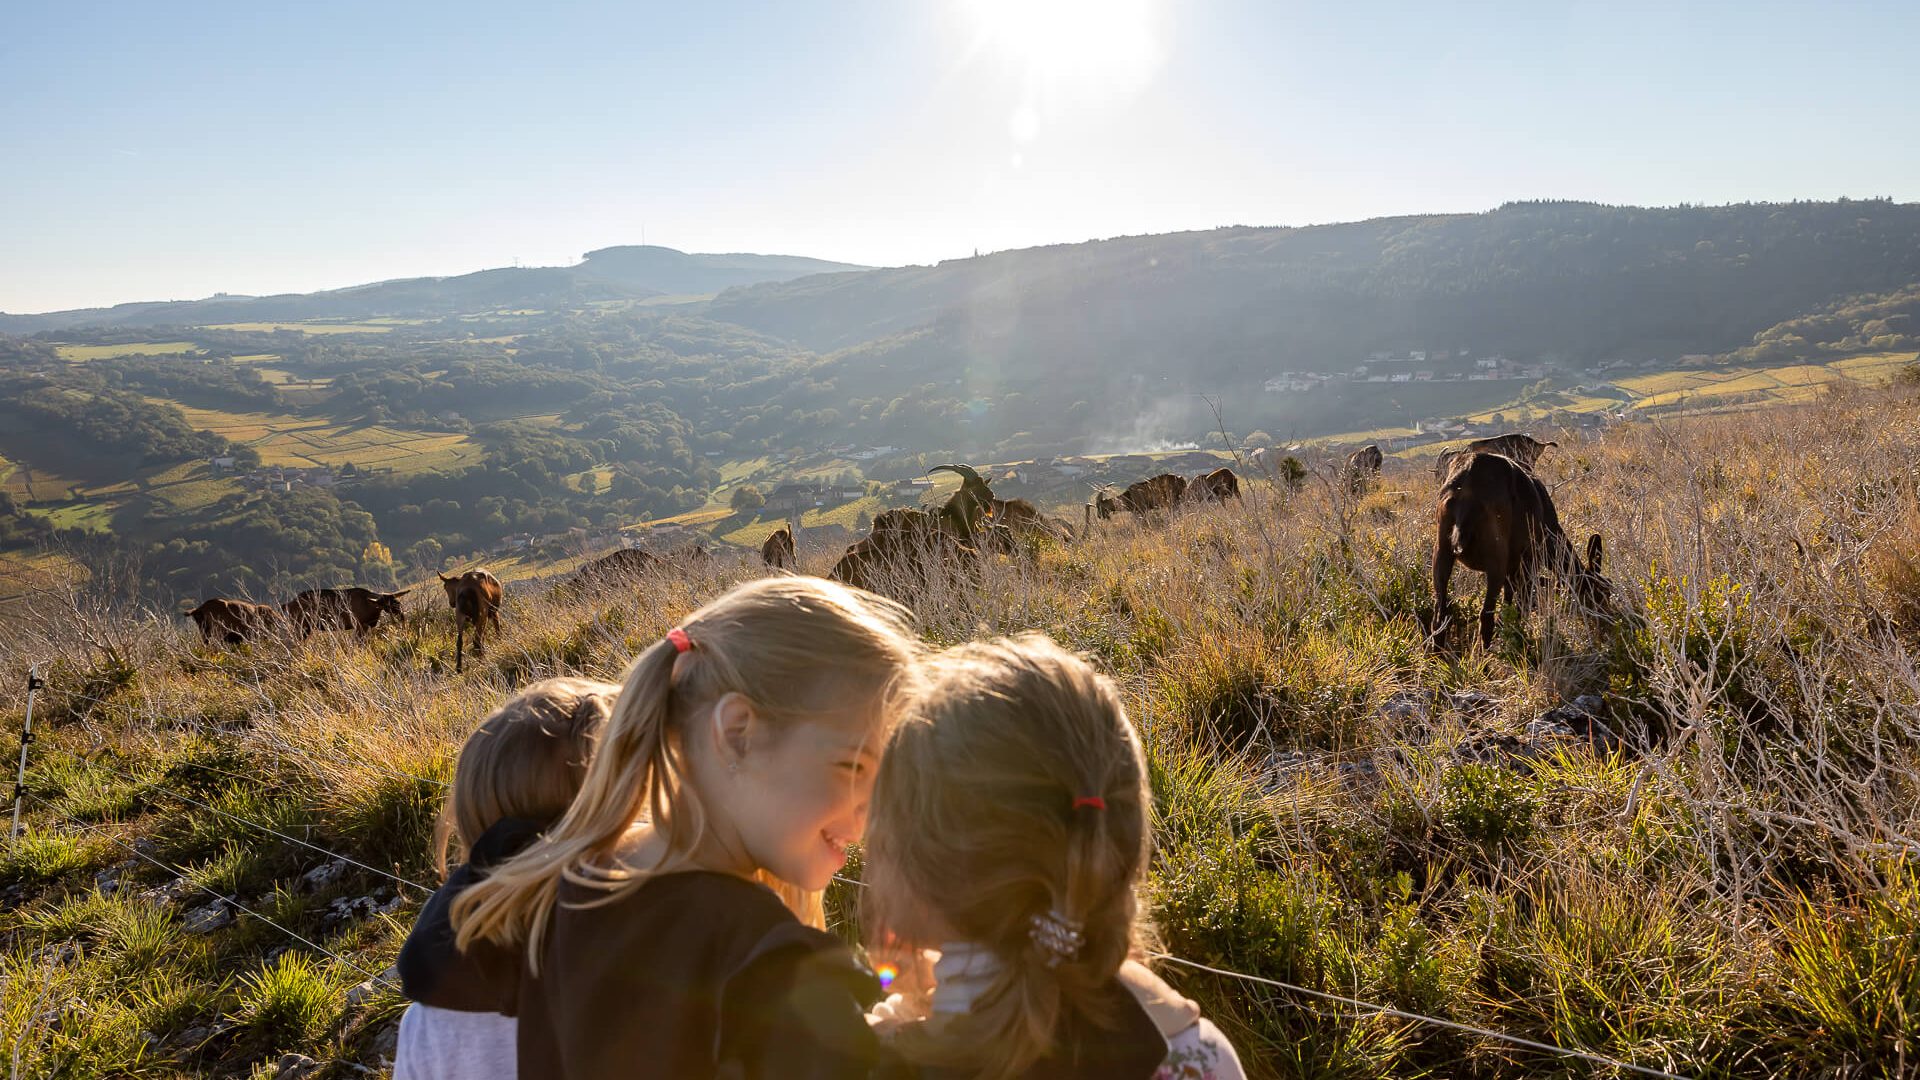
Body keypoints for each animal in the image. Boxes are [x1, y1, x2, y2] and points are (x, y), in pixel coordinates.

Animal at [1428, 447, 1605, 641]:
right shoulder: (1528, 561)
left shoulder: (1512, 570)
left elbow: (1509, 603)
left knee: (1440, 616)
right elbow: (1522, 605)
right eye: (1600, 594)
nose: (1606, 625)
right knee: (1486, 617)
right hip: (1496, 559)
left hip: (1442, 551)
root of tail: (1466, 492)